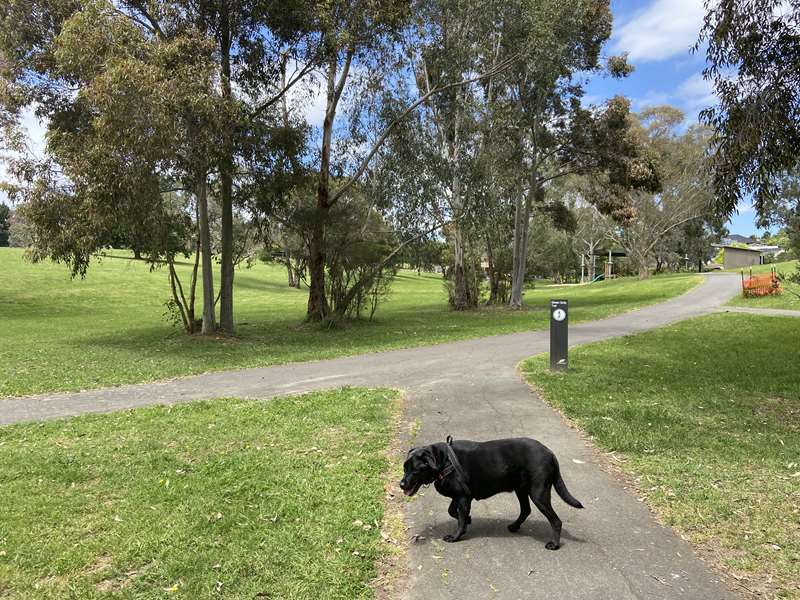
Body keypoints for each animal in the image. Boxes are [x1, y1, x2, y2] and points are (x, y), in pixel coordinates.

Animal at [398, 436, 580, 548]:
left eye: (415, 469)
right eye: (404, 468)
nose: (401, 484)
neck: (443, 461)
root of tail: (550, 453)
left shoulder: (463, 498)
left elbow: (460, 518)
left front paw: (456, 536)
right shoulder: (461, 496)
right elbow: (453, 512)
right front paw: (467, 521)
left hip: (538, 494)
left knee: (556, 521)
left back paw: (554, 544)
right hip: (521, 489)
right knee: (526, 510)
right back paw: (514, 526)